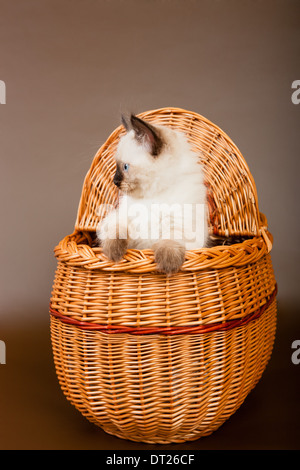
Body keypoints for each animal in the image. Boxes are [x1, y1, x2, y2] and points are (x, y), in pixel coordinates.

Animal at [96, 114, 209, 276]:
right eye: (118, 166)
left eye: (125, 167)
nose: (115, 181)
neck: (153, 196)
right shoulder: (124, 221)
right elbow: (117, 230)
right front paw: (114, 253)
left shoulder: (182, 226)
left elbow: (171, 238)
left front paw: (168, 265)